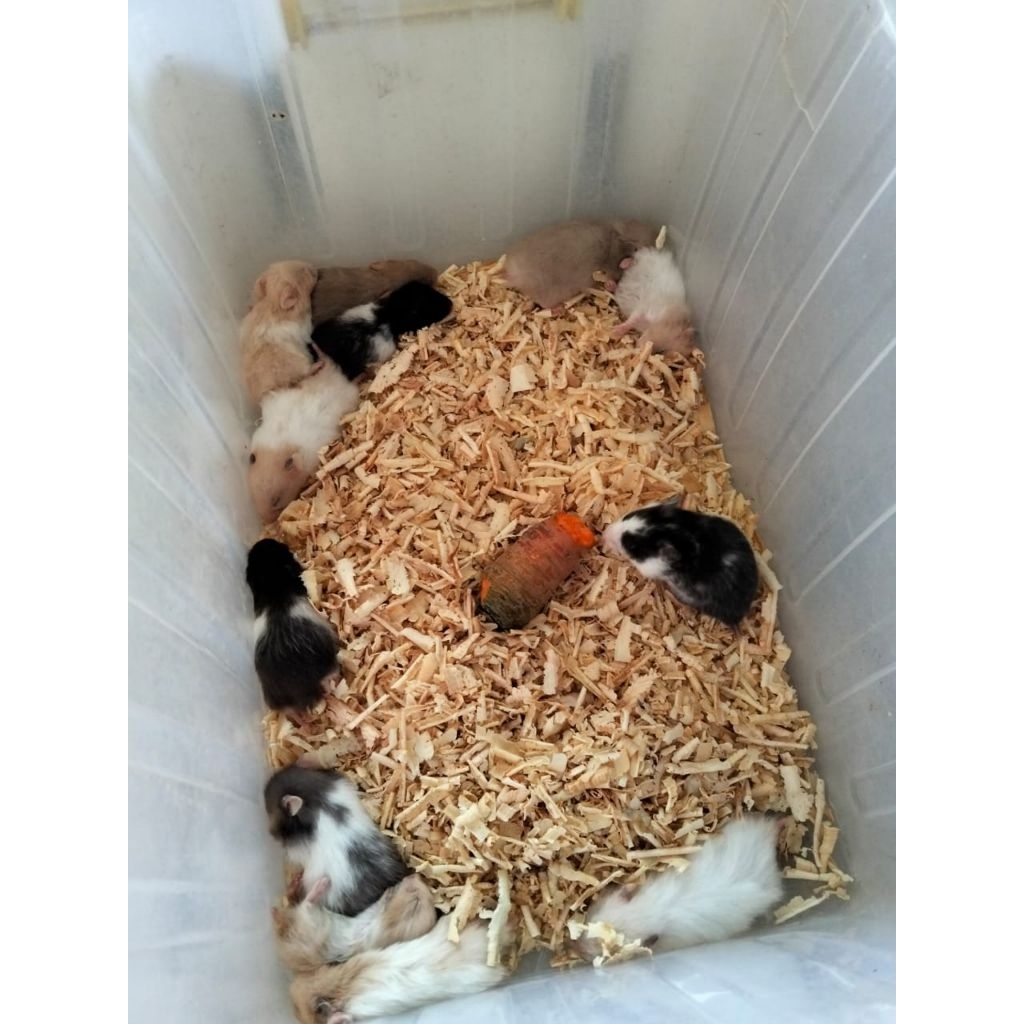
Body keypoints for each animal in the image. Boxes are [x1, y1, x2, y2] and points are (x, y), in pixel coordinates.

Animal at [241, 260, 320, 405]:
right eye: (303, 272)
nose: (314, 268)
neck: (272, 301)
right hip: (300, 362)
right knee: (306, 372)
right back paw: (318, 365)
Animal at [273, 873, 437, 973]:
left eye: (415, 895)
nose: (415, 874)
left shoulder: (377, 919)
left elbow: (381, 905)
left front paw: (388, 892)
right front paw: (389, 890)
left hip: (312, 920)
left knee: (306, 903)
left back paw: (323, 882)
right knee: (292, 898)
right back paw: (296, 880)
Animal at [503, 219, 659, 309]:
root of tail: (514, 274)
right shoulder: (612, 262)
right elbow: (612, 275)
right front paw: (612, 283)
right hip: (549, 292)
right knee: (544, 303)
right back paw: (559, 309)